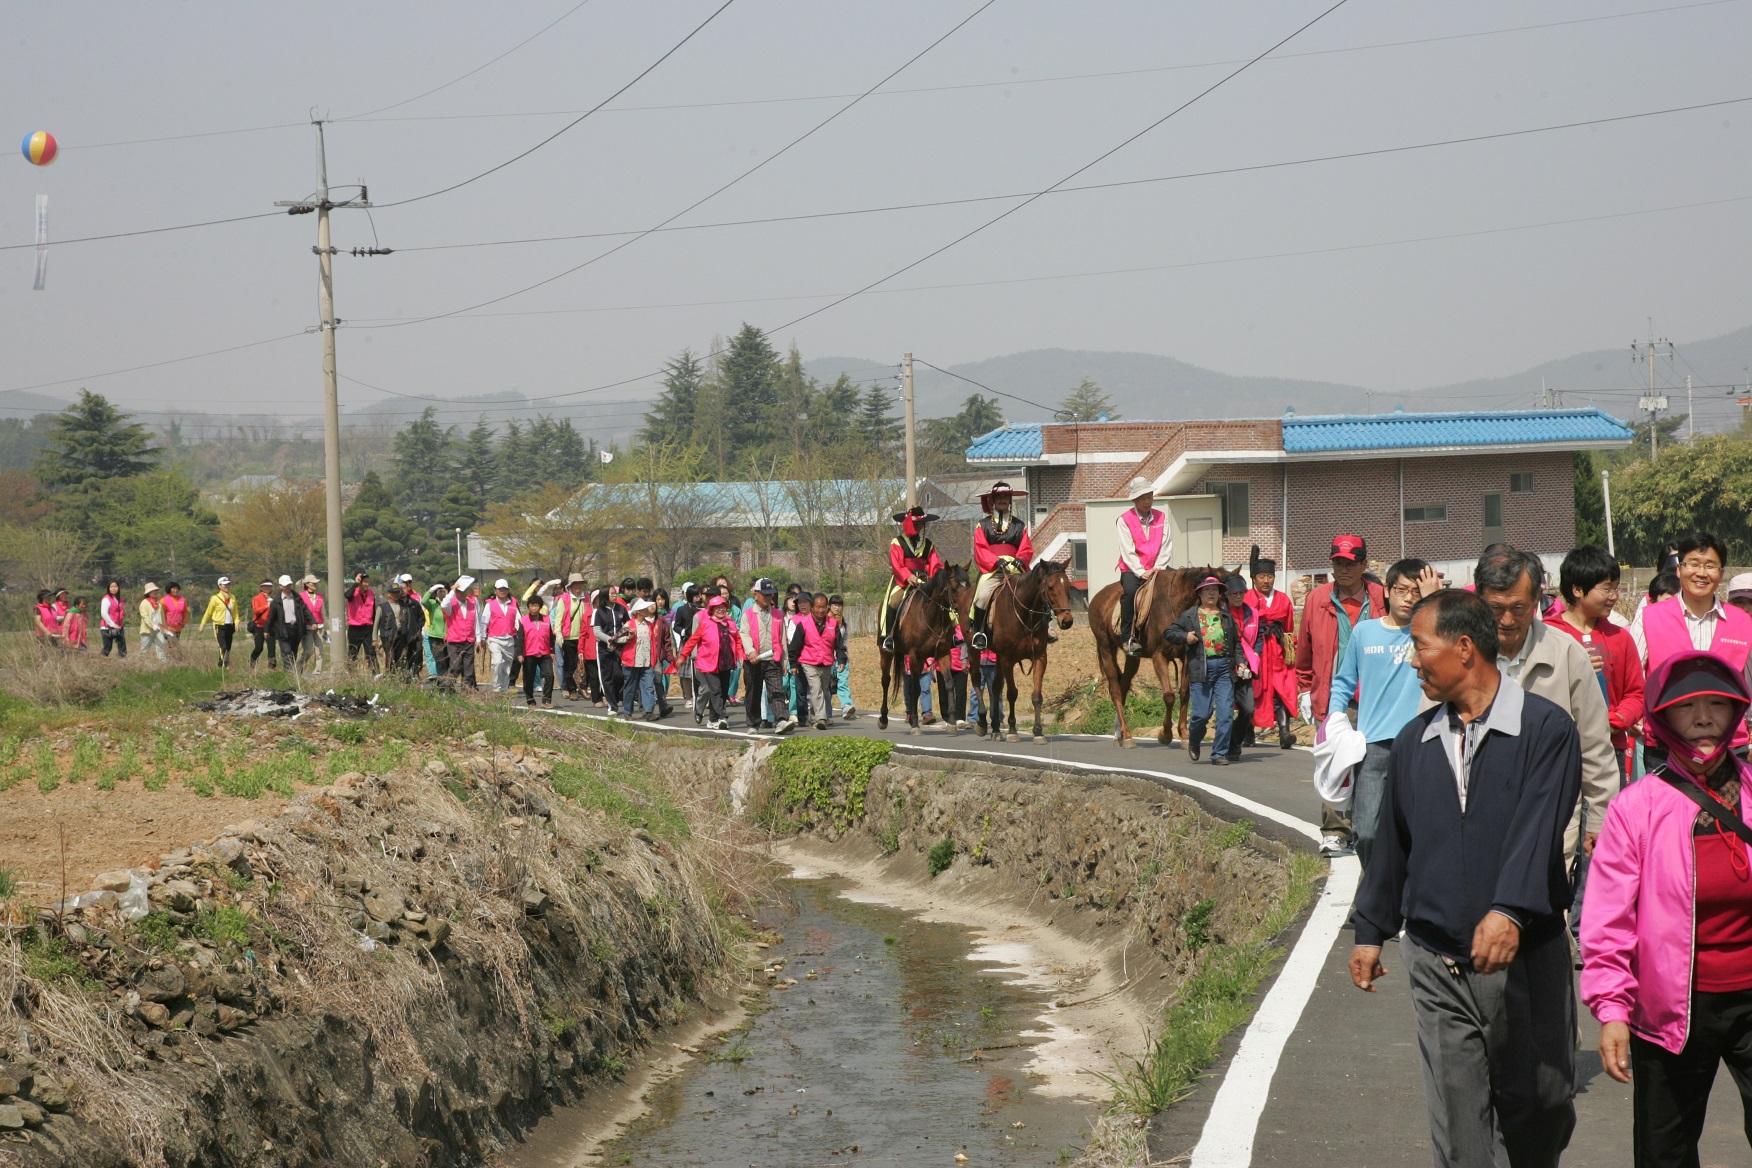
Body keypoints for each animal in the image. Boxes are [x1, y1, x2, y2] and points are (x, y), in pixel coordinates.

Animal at [876, 560, 974, 735]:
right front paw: (915, 724)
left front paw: (951, 722)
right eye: (954, 587)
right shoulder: (915, 655)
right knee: (886, 681)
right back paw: (883, 719)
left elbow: (949, 684)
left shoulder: (943, 653)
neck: (931, 615)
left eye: (968, 585)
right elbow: (915, 688)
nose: (967, 609)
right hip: (886, 652)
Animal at [981, 560, 1072, 745]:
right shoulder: (1008, 659)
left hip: (998, 658)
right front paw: (1012, 730)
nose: (1067, 621)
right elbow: (1012, 693)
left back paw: (996, 729)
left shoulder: (1040, 657)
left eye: (1068, 585)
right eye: (1050, 587)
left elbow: (1037, 696)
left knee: (995, 688)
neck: (1025, 613)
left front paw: (1038, 732)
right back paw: (981, 723)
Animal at [1086, 567, 1226, 749]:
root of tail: (1099, 596)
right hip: (1105, 647)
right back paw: (1127, 736)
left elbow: (1184, 694)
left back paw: (1120, 734)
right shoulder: (1159, 656)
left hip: (1133, 657)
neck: (1175, 605)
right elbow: (1169, 696)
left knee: (1124, 685)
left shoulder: (1186, 657)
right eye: (1215, 591)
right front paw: (1165, 734)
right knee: (1115, 689)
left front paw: (1184, 736)